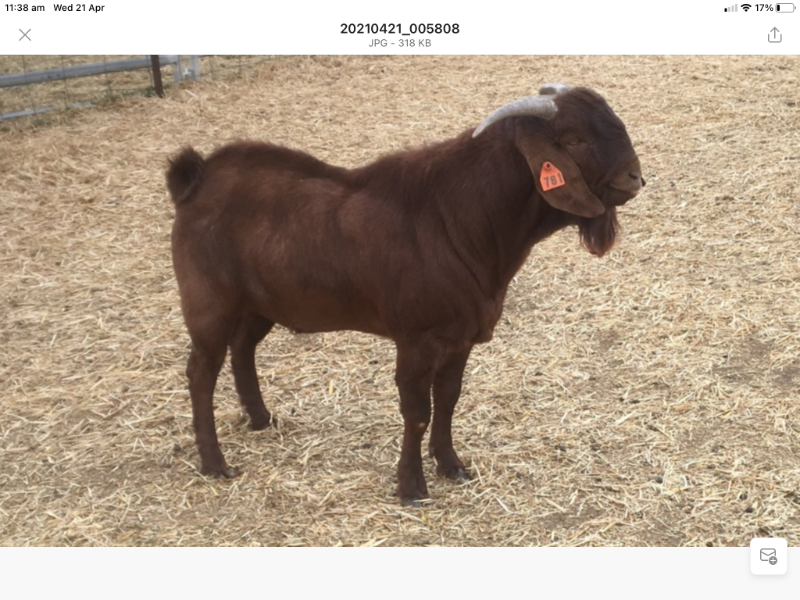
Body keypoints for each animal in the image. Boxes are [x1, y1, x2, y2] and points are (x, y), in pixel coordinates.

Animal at [166, 84, 644, 506]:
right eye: (574, 138)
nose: (636, 177)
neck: (458, 219)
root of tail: (197, 177)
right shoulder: (416, 338)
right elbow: (416, 412)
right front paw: (411, 487)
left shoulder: (460, 336)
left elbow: (448, 399)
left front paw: (451, 465)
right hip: (209, 301)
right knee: (201, 371)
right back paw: (214, 463)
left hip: (258, 302)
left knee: (243, 348)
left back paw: (261, 420)